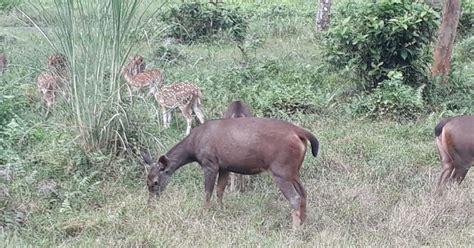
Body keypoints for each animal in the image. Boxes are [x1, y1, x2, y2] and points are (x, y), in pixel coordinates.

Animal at [143, 116, 320, 229]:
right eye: (147, 181)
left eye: (155, 182)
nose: (150, 204)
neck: (193, 147)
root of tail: (301, 133)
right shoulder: (225, 166)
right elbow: (220, 190)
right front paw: (221, 210)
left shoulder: (210, 163)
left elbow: (208, 192)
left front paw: (204, 212)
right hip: (293, 170)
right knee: (304, 193)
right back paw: (304, 223)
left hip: (281, 169)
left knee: (295, 197)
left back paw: (295, 230)